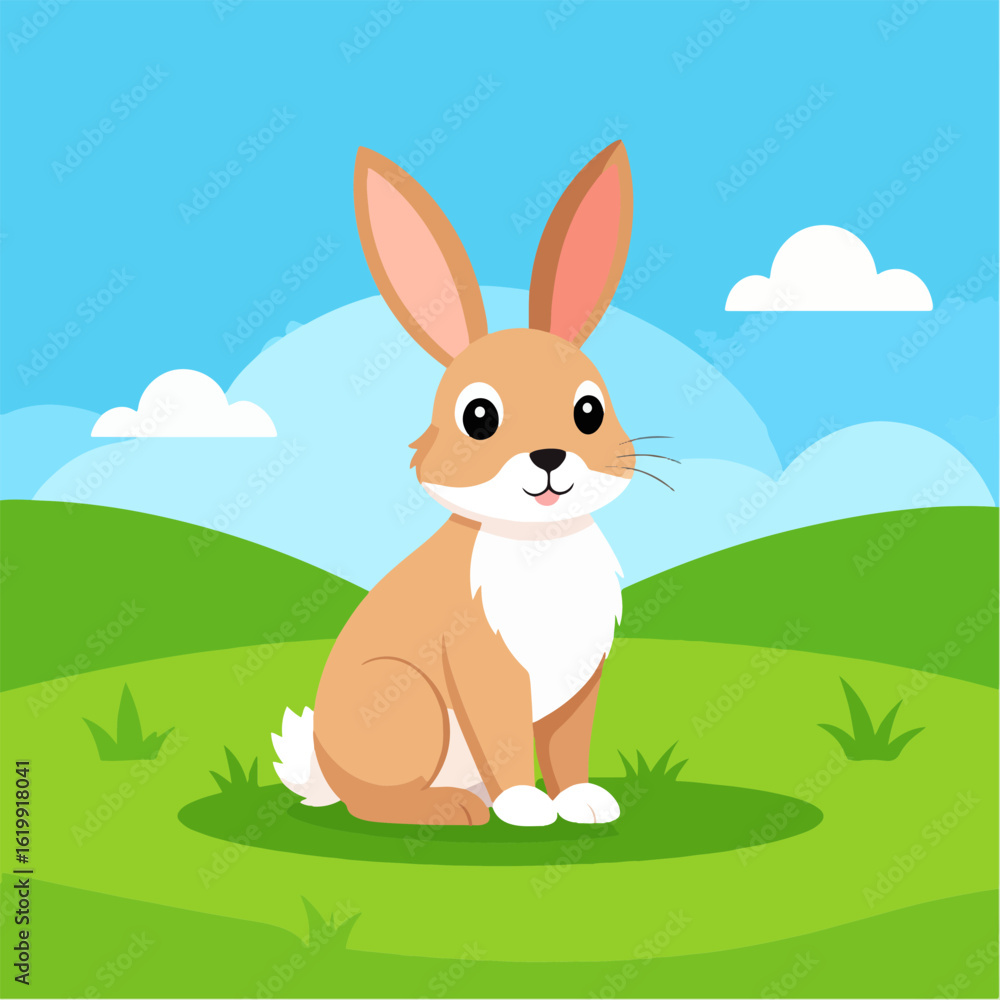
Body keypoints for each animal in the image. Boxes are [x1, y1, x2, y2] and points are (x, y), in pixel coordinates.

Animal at [273, 141, 637, 827]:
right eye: (479, 417)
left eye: (589, 412)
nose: (549, 457)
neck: (537, 540)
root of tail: (325, 772)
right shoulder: (482, 668)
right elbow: (504, 740)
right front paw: (527, 807)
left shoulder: (582, 683)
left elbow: (570, 746)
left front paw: (583, 803)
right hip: (406, 703)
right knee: (373, 803)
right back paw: (454, 809)